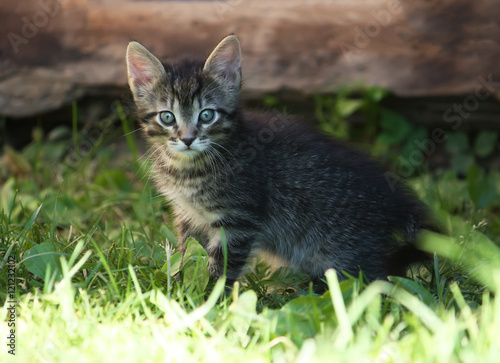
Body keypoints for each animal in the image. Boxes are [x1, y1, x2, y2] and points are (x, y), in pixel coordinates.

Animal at [126, 34, 434, 290]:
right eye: (167, 117)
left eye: (207, 115)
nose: (188, 138)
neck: (189, 169)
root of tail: (395, 200)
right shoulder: (187, 215)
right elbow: (187, 254)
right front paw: (179, 288)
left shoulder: (239, 220)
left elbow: (222, 266)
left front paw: (211, 301)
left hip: (344, 252)